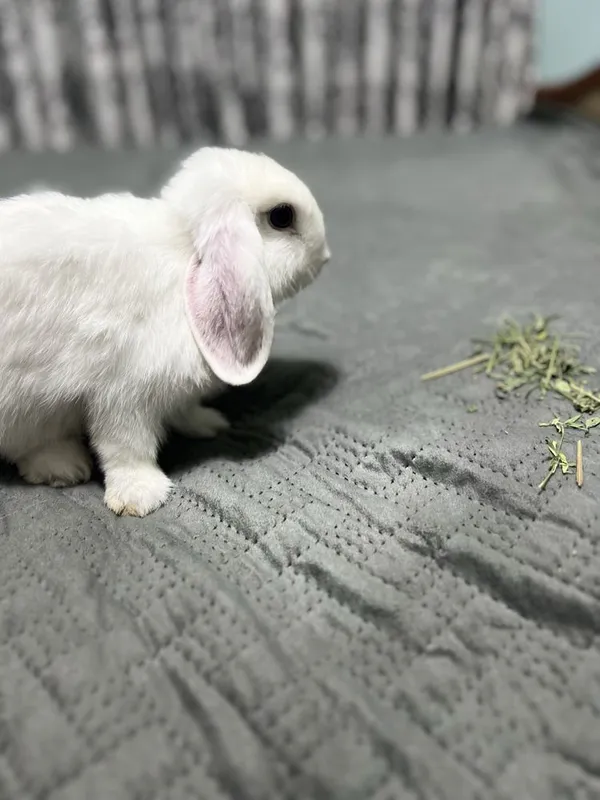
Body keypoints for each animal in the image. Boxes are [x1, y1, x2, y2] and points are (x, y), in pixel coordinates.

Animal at [0, 147, 330, 517]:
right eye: (282, 216)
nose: (325, 255)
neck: (186, 255)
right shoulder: (124, 394)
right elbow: (126, 447)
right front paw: (140, 497)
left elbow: (183, 409)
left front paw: (208, 424)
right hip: (22, 404)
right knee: (30, 445)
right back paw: (64, 467)